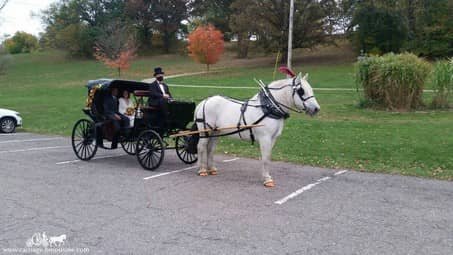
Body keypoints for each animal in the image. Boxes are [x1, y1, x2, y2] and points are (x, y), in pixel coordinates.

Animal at [192, 72, 320, 186]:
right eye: (301, 90)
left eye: (311, 89)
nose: (316, 109)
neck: (268, 108)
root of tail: (205, 101)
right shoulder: (265, 138)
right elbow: (265, 159)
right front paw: (267, 179)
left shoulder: (273, 139)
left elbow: (268, 157)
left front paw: (266, 176)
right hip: (205, 131)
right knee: (201, 147)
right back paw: (202, 170)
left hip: (215, 132)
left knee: (210, 149)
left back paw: (211, 169)